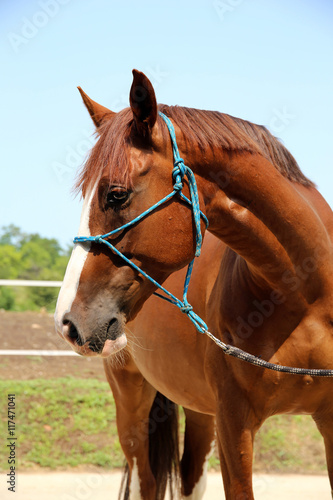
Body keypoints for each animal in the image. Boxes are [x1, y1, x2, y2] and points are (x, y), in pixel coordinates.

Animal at [54, 68, 332, 498]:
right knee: (147, 480)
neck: (305, 295)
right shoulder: (234, 424)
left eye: (115, 195)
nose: (67, 322)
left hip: (199, 411)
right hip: (131, 405)